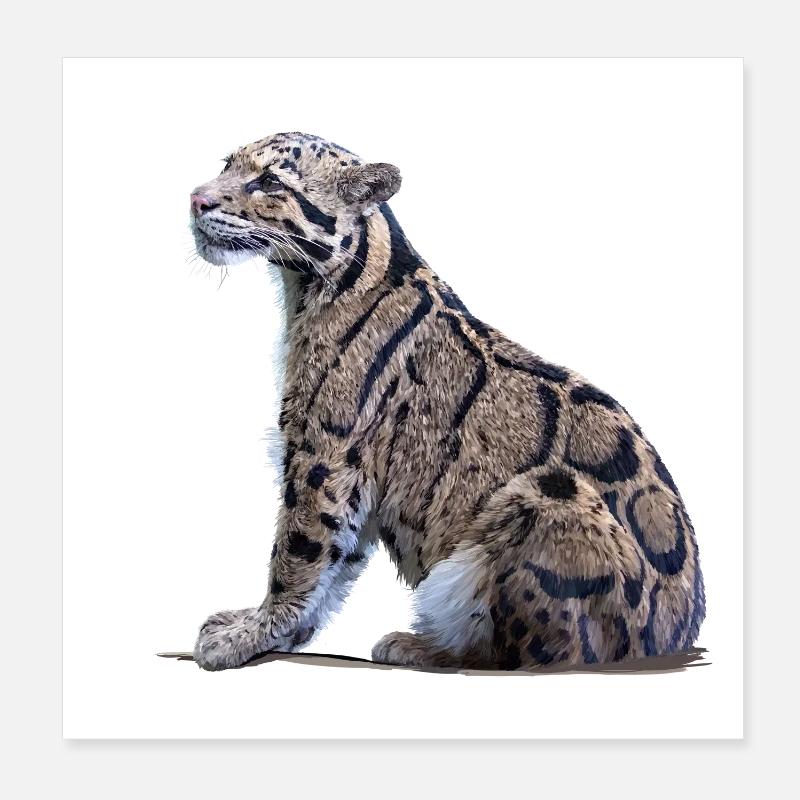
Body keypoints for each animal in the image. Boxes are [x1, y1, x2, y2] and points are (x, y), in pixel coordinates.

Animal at [189, 131, 705, 671]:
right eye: (226, 164)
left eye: (270, 182)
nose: (196, 199)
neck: (305, 289)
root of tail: (677, 635)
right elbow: (336, 562)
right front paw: (278, 631)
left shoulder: (324, 453)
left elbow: (299, 551)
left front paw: (251, 633)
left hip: (550, 494)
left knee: (537, 654)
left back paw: (423, 645)